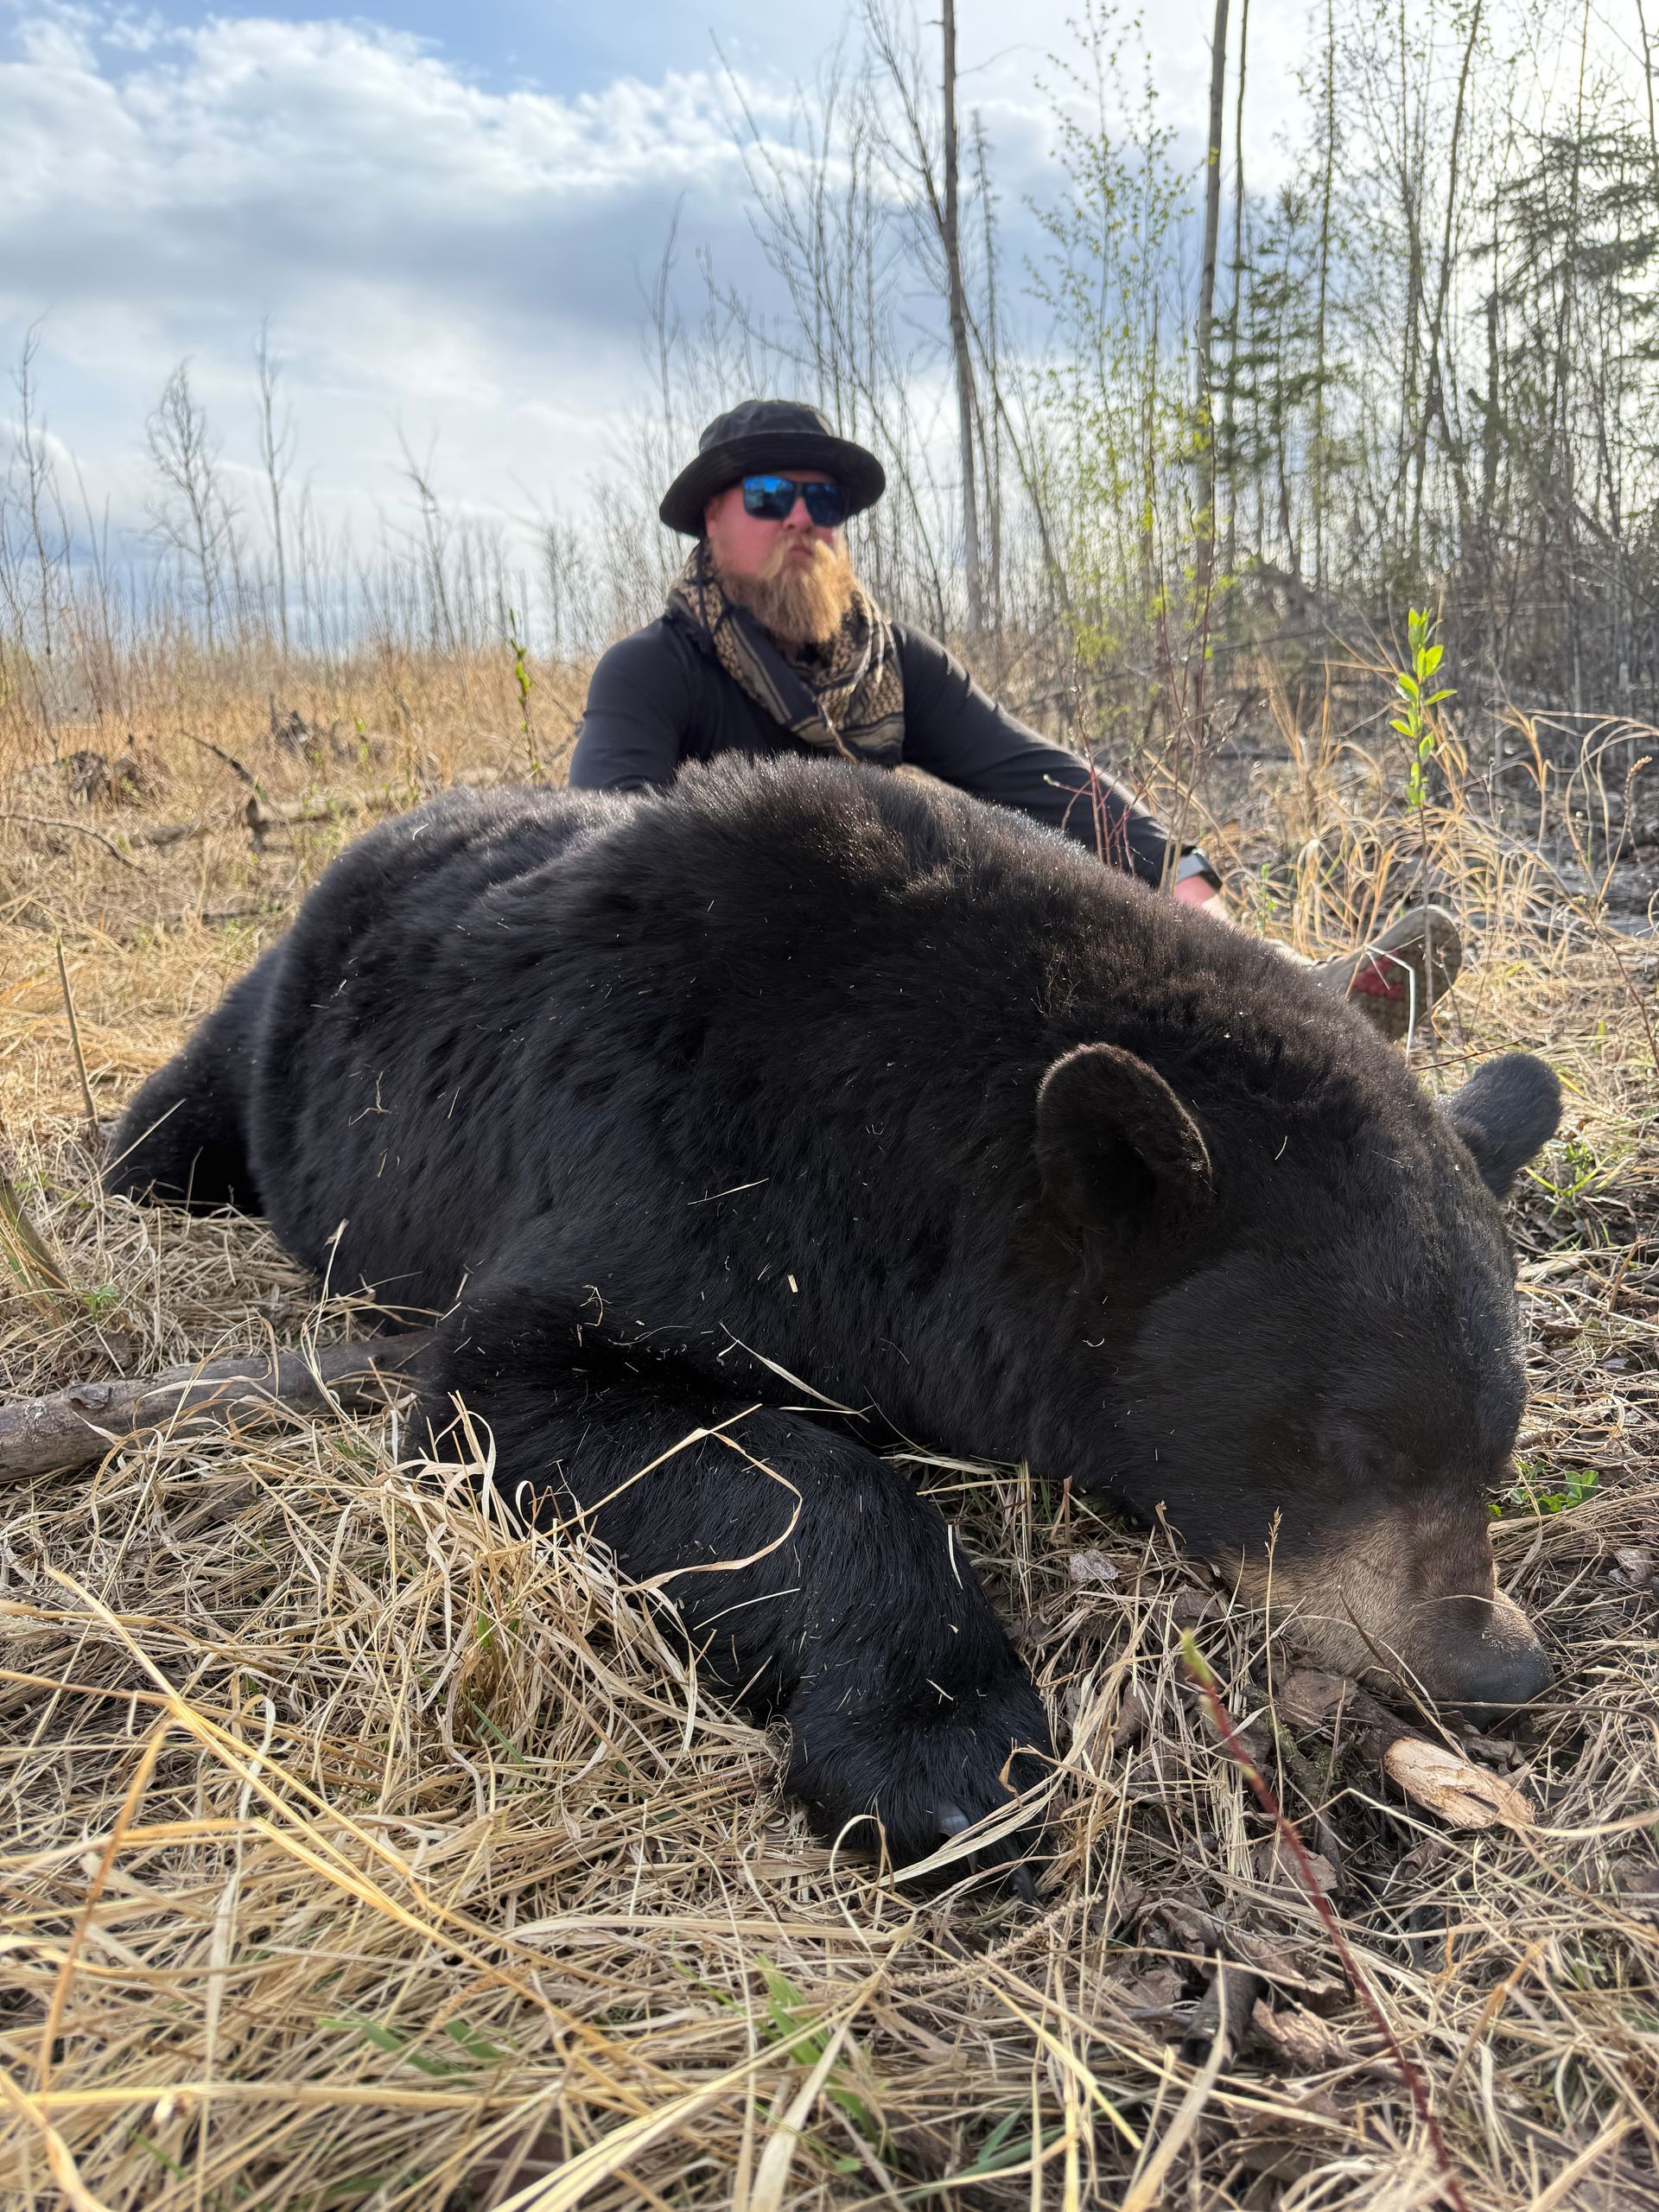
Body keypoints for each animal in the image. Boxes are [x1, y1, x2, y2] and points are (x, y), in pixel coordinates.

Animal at [109, 758, 1561, 1877]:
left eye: (1499, 1441)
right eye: (1363, 1445)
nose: (1498, 1666)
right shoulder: (659, 1160)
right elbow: (553, 1398)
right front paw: (945, 1753)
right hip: (270, 1036)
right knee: (169, 1124)